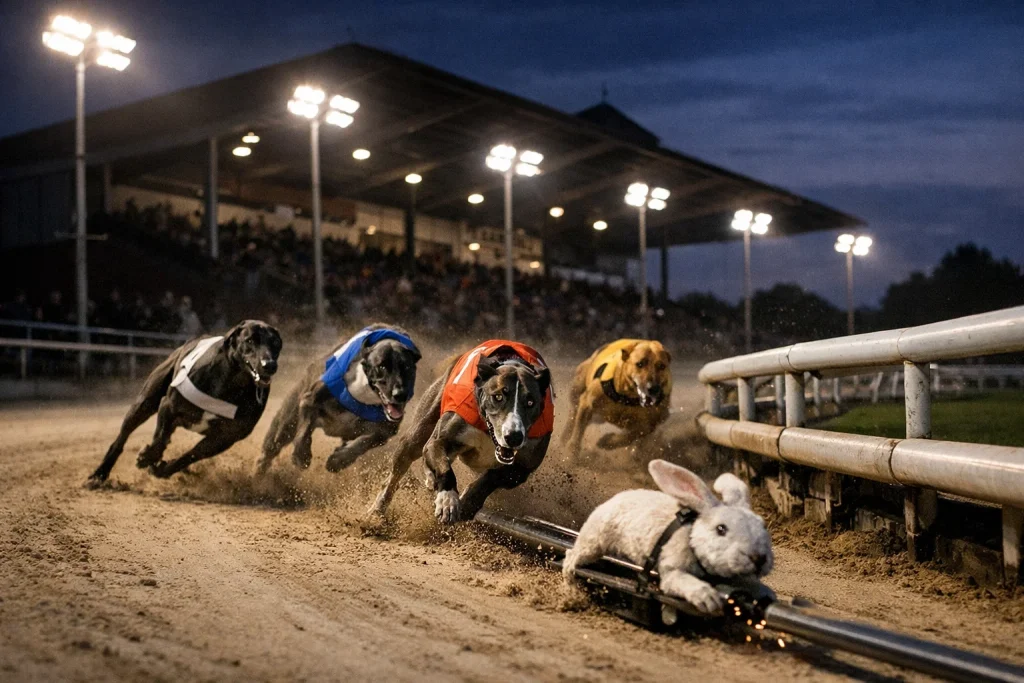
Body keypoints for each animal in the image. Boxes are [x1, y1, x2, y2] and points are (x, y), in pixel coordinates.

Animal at [562, 459, 773, 614]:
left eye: (763, 525)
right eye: (721, 529)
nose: (759, 558)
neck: (692, 537)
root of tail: (611, 500)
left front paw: (767, 594)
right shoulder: (672, 569)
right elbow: (680, 581)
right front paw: (708, 599)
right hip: (593, 542)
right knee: (570, 557)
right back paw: (570, 587)